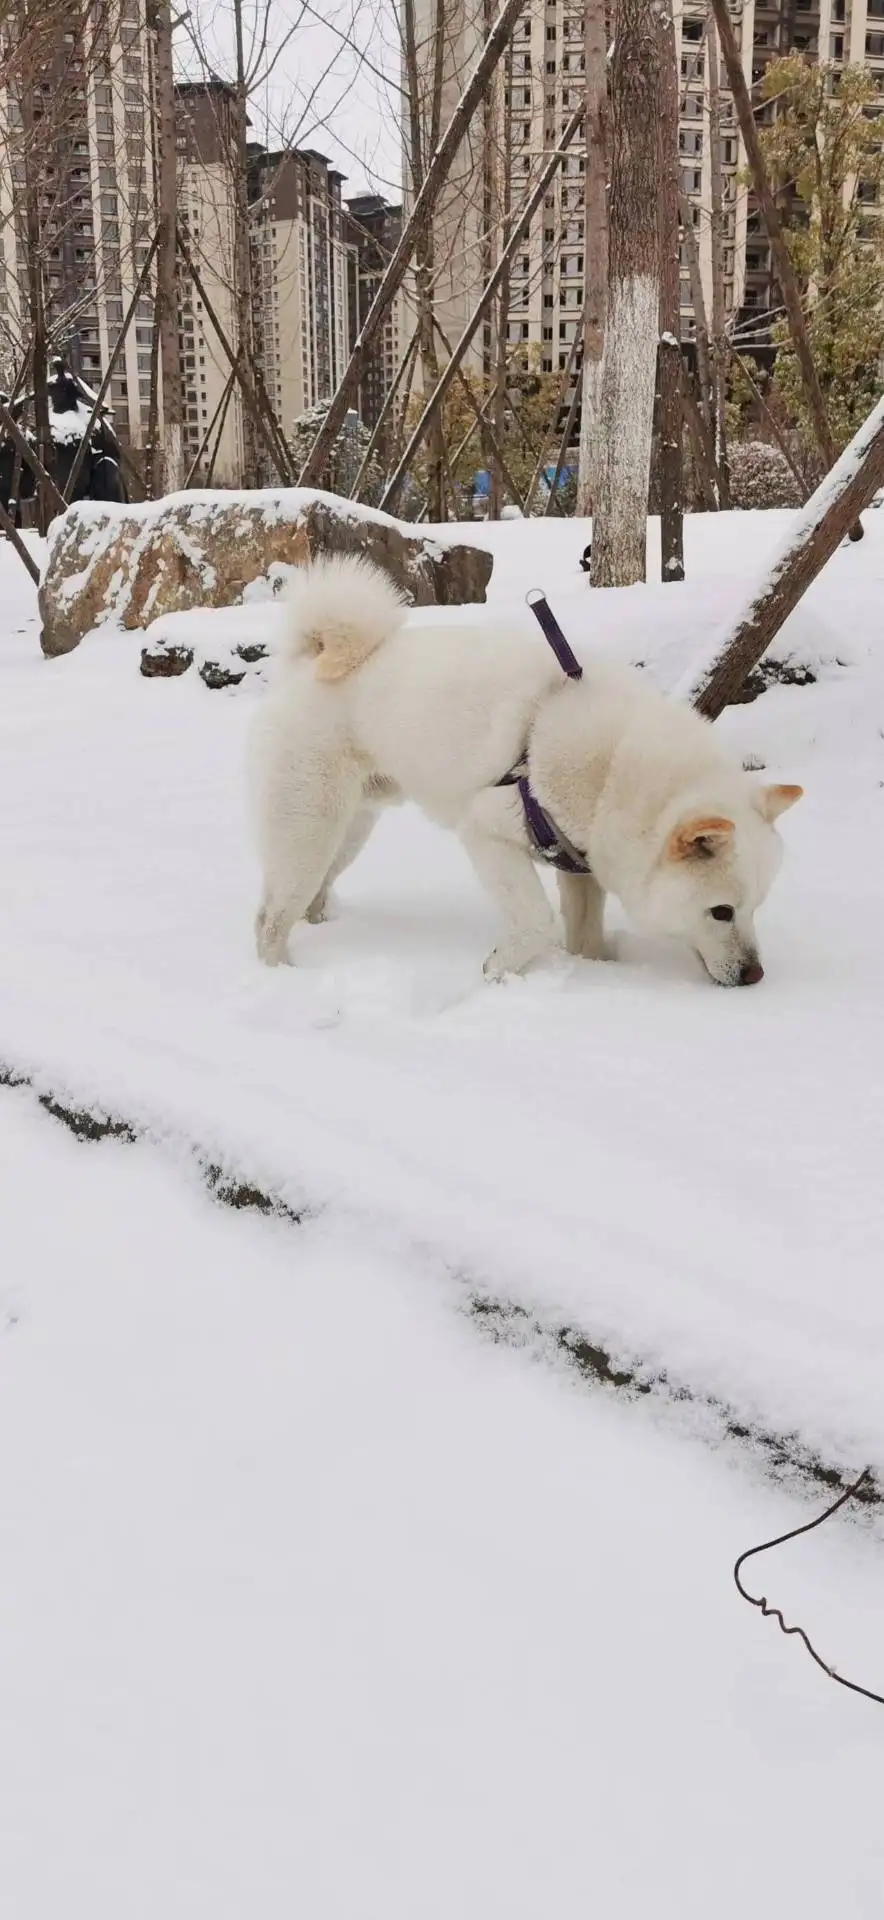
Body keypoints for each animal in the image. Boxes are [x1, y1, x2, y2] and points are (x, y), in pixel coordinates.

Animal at [247, 552, 799, 975]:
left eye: (755, 908)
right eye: (721, 911)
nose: (754, 976)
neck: (615, 775)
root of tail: (310, 662)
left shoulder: (581, 870)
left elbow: (585, 937)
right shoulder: (488, 831)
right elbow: (535, 921)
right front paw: (500, 968)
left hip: (349, 831)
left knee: (312, 898)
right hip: (309, 829)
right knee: (270, 918)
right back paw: (282, 978)